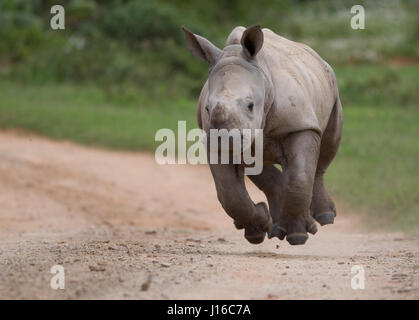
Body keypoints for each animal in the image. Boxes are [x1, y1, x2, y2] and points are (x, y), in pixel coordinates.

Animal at [182, 25, 342, 245]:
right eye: (207, 108)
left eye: (250, 105)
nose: (226, 140)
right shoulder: (214, 140)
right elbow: (229, 193)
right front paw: (259, 229)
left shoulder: (300, 124)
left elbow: (300, 177)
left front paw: (298, 236)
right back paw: (271, 228)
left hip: (330, 85)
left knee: (327, 146)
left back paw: (325, 217)